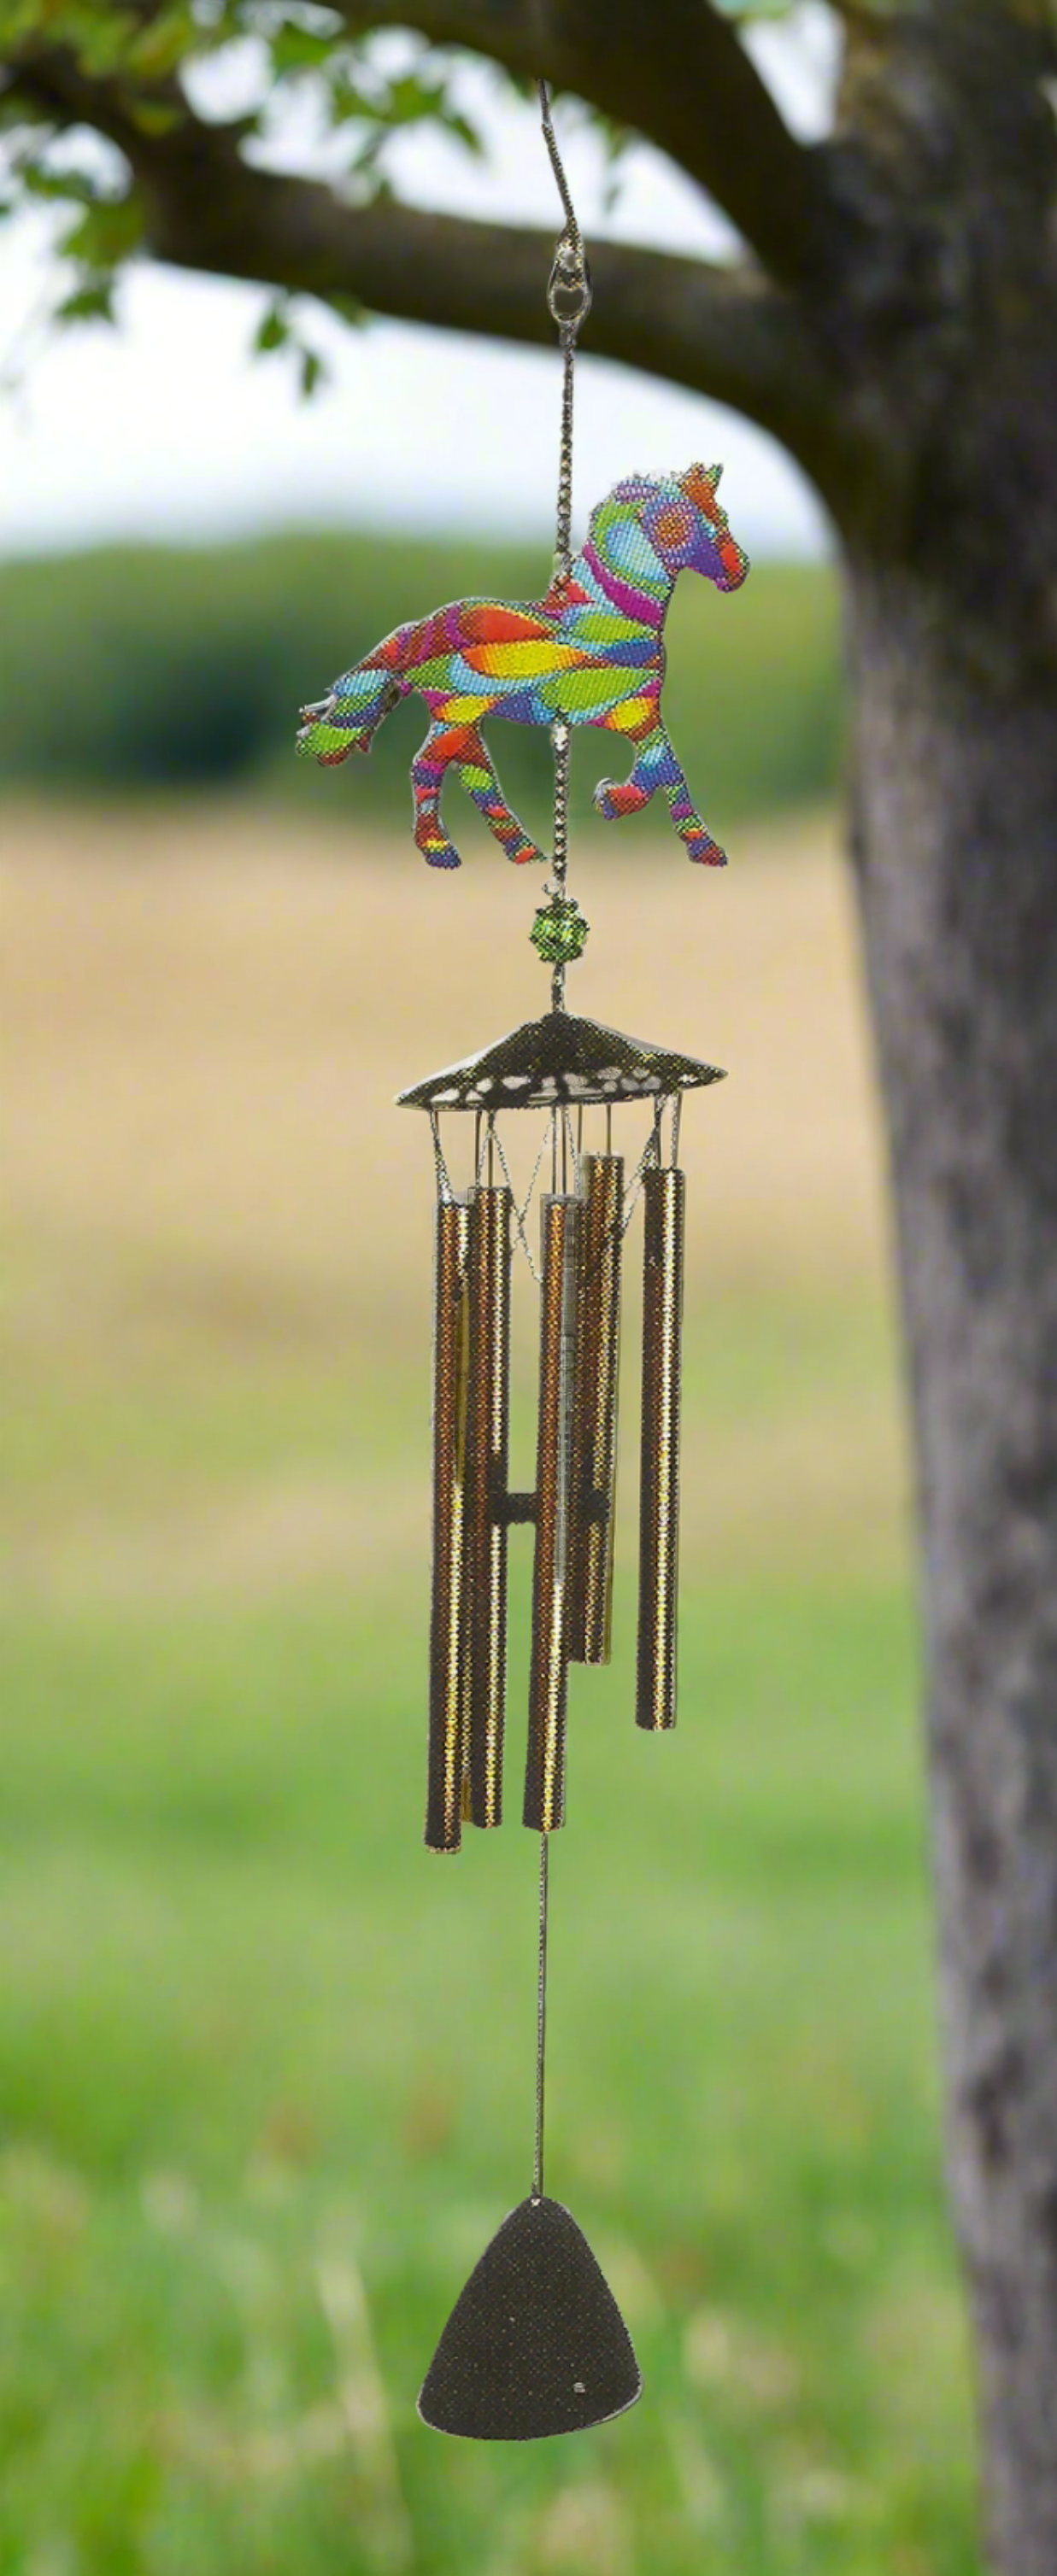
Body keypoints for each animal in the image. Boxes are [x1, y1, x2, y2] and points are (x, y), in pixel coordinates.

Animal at [296, 464, 749, 871]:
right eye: (712, 525)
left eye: (723, 518)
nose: (739, 572)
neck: (612, 615)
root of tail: (422, 629)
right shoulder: (632, 711)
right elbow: (664, 771)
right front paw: (621, 805)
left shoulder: (637, 712)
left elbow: (664, 770)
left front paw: (622, 806)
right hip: (457, 713)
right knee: (428, 769)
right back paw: (443, 852)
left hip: (461, 720)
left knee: (474, 776)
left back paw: (524, 852)